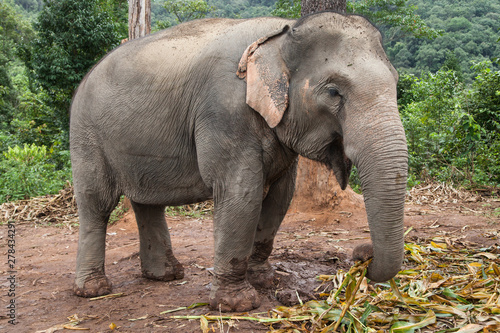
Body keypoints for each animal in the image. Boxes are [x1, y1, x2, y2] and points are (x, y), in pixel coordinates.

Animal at [69, 11, 406, 312]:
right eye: (334, 92)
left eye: (396, 81)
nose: (362, 254)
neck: (283, 32)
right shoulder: (224, 113)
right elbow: (242, 194)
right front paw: (237, 304)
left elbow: (280, 197)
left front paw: (265, 280)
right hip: (86, 134)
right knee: (97, 203)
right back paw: (93, 290)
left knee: (147, 202)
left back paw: (166, 276)